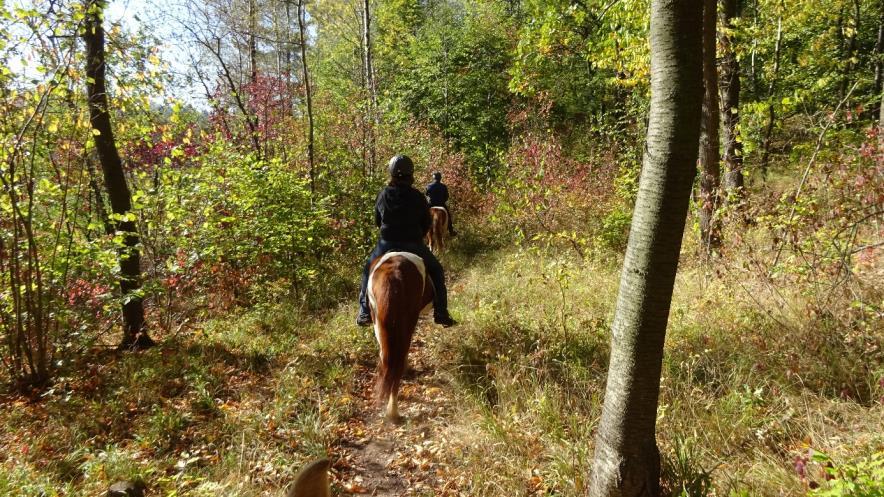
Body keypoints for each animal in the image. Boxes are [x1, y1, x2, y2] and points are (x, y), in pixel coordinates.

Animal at [368, 252, 434, 418]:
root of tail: (393, 273)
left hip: (379, 324)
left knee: (385, 358)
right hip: (408, 322)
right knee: (399, 357)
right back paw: (393, 411)